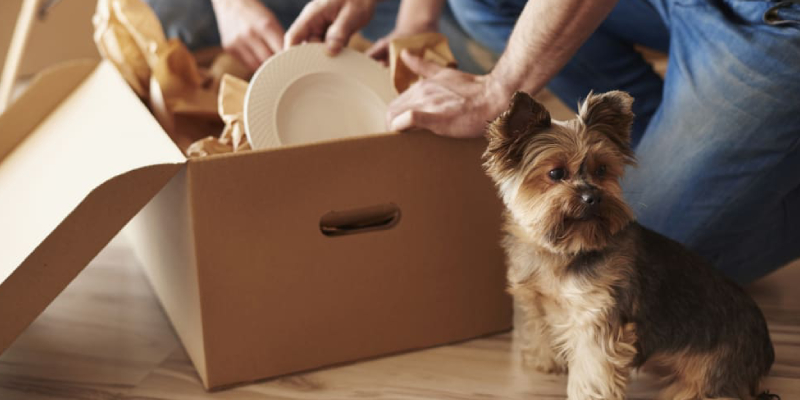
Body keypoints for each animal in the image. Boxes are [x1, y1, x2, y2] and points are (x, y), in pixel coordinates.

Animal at [482, 91, 776, 400]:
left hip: (710, 374)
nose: (593, 197)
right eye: (556, 173)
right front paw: (544, 361)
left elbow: (592, 370)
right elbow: (541, 327)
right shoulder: (539, 300)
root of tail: (765, 349)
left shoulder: (597, 317)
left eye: (602, 170)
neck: (566, 249)